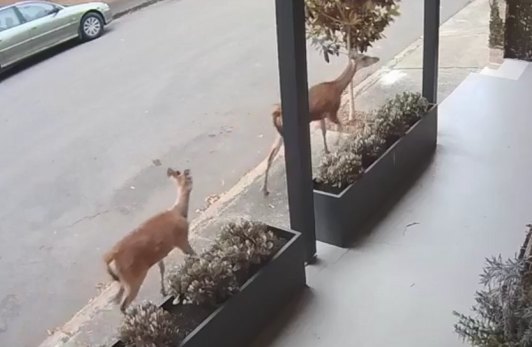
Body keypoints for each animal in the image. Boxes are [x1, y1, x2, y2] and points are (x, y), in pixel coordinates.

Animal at [104, 168, 195, 312]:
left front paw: (163, 291)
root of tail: (111, 257)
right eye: (188, 177)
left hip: (122, 280)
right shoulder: (181, 240)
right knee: (123, 305)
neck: (178, 211)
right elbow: (194, 255)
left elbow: (162, 268)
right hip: (133, 278)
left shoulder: (160, 254)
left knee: (118, 298)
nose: (191, 184)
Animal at [260, 53, 378, 197]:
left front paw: (327, 150)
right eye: (364, 58)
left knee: (271, 155)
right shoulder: (332, 111)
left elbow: (324, 131)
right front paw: (336, 144)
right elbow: (340, 126)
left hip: (279, 133)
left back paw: (265, 189)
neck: (337, 88)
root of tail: (276, 114)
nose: (376, 58)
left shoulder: (321, 115)